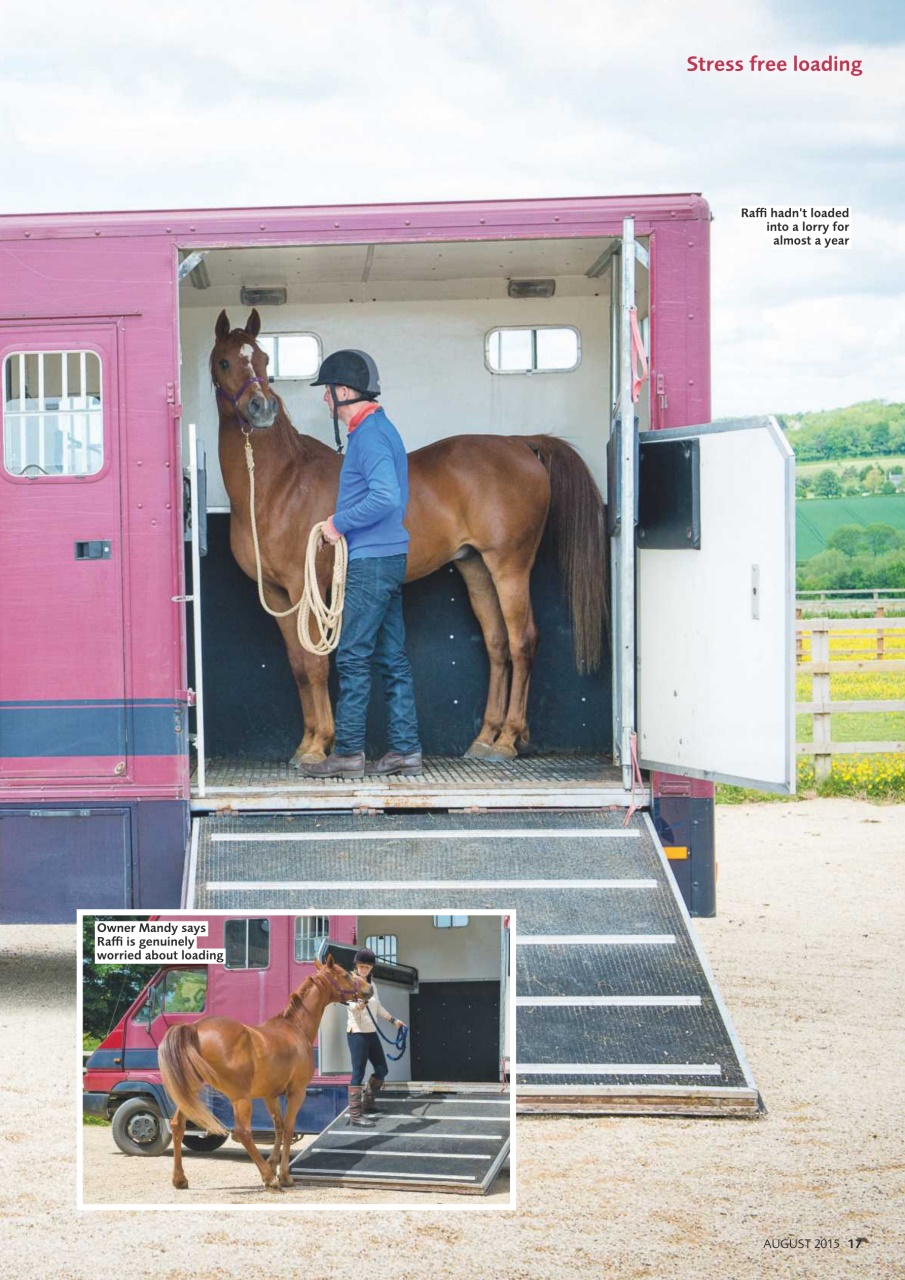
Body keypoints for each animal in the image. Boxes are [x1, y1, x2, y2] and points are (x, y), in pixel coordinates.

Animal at [158, 954, 371, 1192]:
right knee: (243, 1132)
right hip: (240, 1098)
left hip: (191, 1092)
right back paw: (269, 1179)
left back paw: (180, 1179)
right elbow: (288, 1128)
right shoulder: (297, 1092)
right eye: (345, 974)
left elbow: (278, 1127)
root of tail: (194, 1028)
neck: (295, 1028)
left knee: (177, 1125)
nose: (368, 989)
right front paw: (284, 1175)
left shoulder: (271, 1095)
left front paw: (274, 1163)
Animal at [211, 309, 608, 766]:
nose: (262, 408)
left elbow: (315, 664)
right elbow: (298, 663)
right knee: (496, 644)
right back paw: (485, 737)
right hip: (476, 568)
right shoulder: (280, 594)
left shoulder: (306, 586)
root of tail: (521, 444)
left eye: (262, 360)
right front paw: (305, 742)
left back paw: (508, 740)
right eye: (225, 361)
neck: (280, 483)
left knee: (522, 641)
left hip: (510, 566)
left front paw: (318, 746)